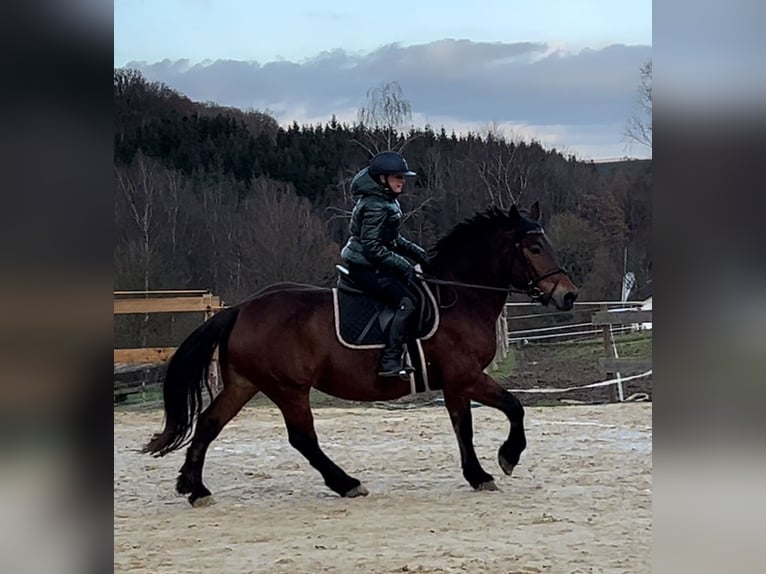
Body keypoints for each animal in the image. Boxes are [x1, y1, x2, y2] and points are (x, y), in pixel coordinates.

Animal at [144, 204, 580, 508]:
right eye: (534, 247)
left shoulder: (458, 383)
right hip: (288, 388)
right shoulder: (464, 376)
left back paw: (194, 487)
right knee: (302, 438)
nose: (568, 295)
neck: (458, 297)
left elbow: (473, 423)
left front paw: (483, 471)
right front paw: (500, 462)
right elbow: (506, 410)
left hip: (244, 383)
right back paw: (346, 483)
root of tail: (241, 309)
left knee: (208, 423)